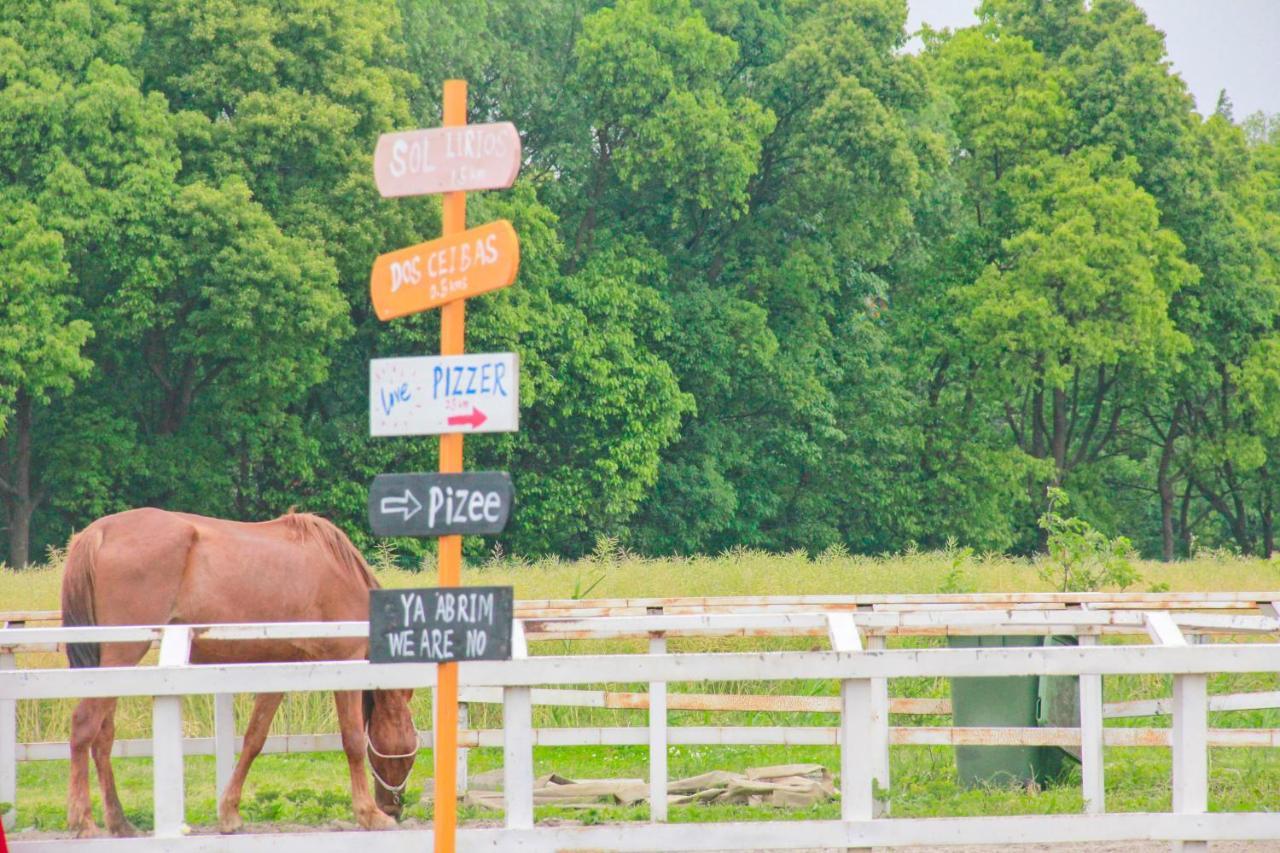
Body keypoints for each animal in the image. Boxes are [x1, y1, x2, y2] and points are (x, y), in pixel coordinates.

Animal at [61, 507, 419, 835]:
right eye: (408, 751)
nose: (395, 807)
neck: (336, 573)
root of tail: (98, 532)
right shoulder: (345, 661)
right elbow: (353, 740)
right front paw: (370, 814)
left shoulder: (278, 670)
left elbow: (253, 740)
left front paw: (229, 813)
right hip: (122, 652)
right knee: (84, 725)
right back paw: (83, 821)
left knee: (103, 736)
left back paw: (119, 821)